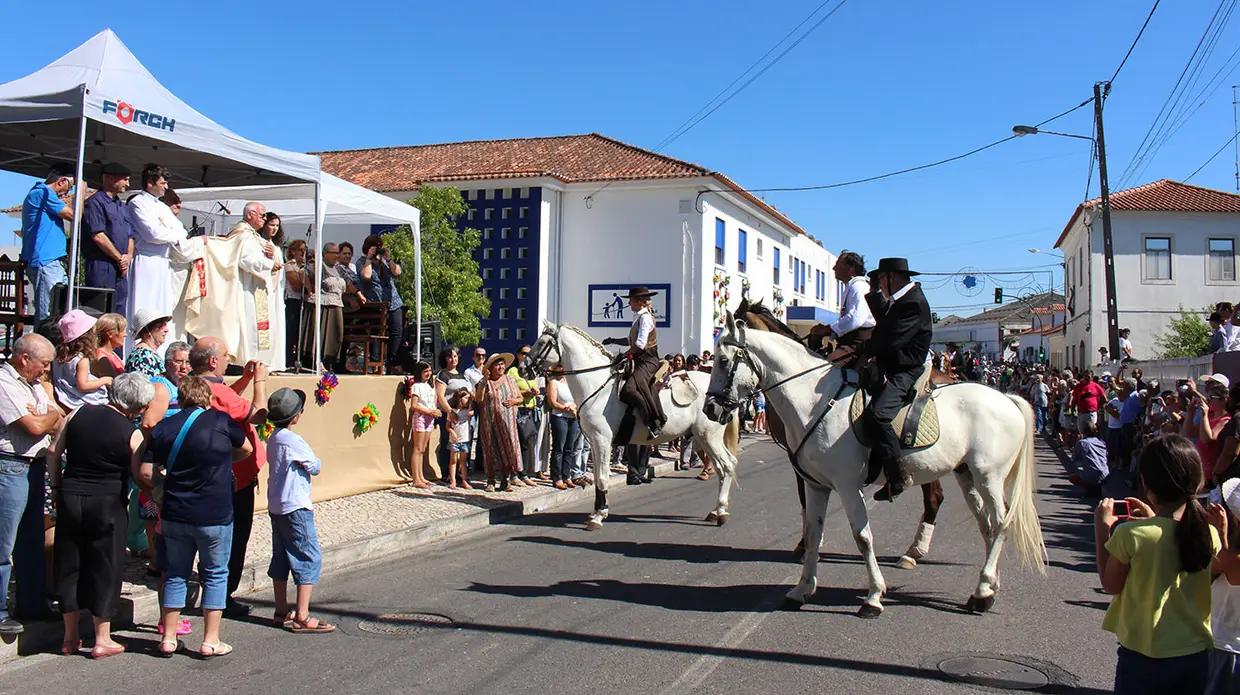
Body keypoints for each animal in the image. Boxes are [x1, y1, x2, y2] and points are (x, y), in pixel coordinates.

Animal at [528, 322, 739, 531]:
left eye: (542, 343)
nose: (524, 367)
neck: (597, 386)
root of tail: (721, 396)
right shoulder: (595, 442)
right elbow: (597, 477)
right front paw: (598, 512)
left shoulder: (602, 440)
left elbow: (602, 477)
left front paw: (598, 517)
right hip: (704, 437)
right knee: (722, 467)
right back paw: (715, 511)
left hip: (708, 436)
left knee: (727, 465)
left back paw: (721, 513)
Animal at [704, 312, 1041, 615]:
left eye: (723, 360)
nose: (710, 409)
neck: (814, 401)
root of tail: (1008, 399)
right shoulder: (816, 485)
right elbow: (813, 532)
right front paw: (802, 589)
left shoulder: (847, 485)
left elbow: (862, 537)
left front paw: (874, 596)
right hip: (966, 474)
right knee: (986, 525)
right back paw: (987, 586)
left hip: (989, 476)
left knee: (1000, 523)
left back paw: (980, 591)